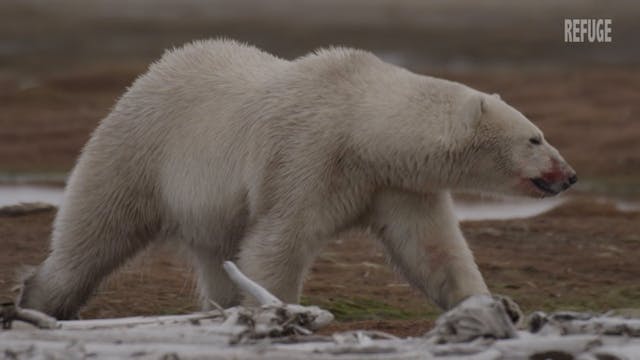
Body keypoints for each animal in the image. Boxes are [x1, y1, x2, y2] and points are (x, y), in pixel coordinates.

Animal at [17, 40, 576, 320]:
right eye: (535, 138)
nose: (569, 175)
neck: (363, 122)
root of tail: (151, 71)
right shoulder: (306, 155)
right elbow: (279, 240)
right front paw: (281, 312)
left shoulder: (394, 182)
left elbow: (431, 247)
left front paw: (495, 303)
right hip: (143, 151)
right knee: (96, 228)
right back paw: (38, 299)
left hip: (205, 202)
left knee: (217, 254)